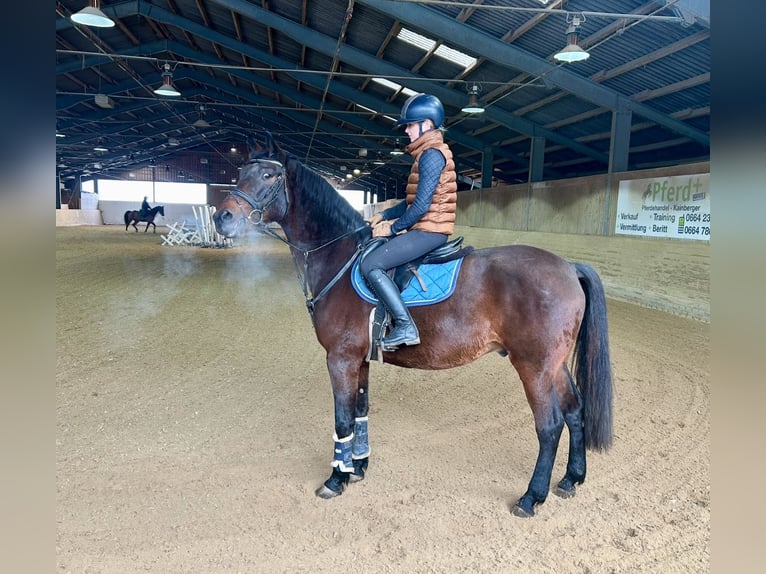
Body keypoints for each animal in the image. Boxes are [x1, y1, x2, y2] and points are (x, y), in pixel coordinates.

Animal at [212, 133, 616, 520]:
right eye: (240, 172)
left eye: (269, 175)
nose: (222, 218)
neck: (339, 258)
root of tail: (568, 266)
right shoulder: (359, 360)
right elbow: (361, 411)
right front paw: (358, 467)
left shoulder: (340, 359)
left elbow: (342, 419)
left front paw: (336, 478)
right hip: (554, 365)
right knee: (575, 410)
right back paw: (571, 479)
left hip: (534, 366)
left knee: (549, 426)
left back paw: (532, 497)